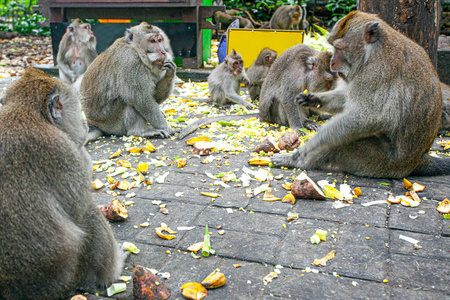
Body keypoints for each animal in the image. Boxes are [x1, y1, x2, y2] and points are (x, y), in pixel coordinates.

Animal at [0, 68, 125, 300]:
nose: (85, 126)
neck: (24, 111)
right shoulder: (62, 152)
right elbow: (77, 209)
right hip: (67, 277)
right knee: (88, 213)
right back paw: (112, 272)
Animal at [270, 11, 450, 178]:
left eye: (339, 48)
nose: (332, 62)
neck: (372, 51)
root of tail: (418, 160)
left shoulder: (374, 73)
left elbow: (367, 117)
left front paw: (308, 147)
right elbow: (346, 100)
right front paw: (313, 99)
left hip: (382, 161)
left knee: (340, 144)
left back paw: (297, 161)